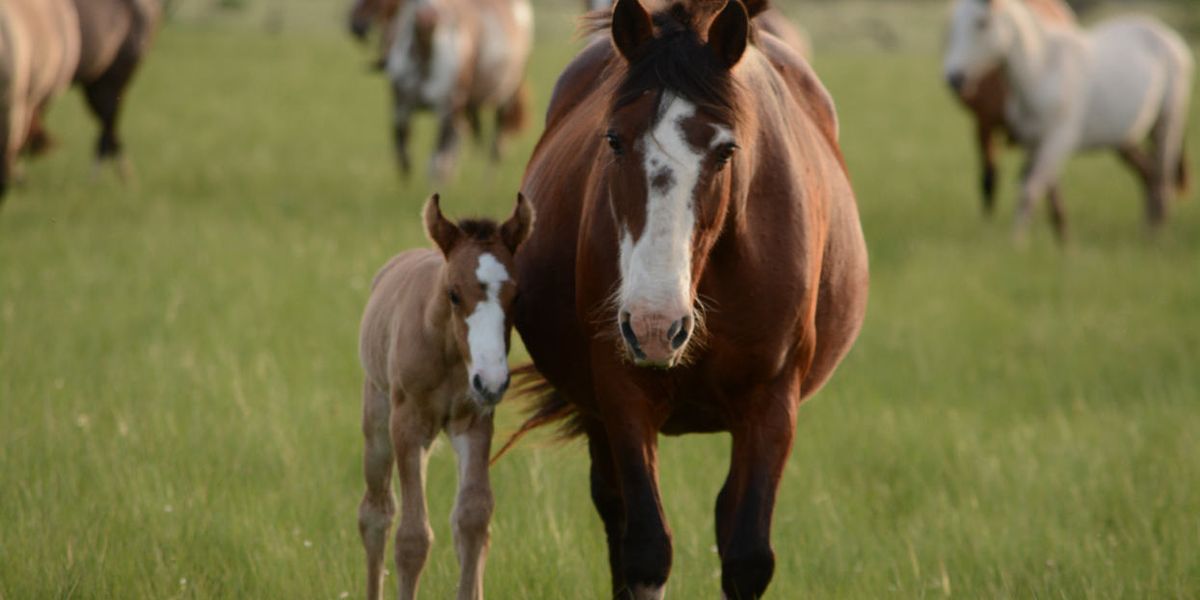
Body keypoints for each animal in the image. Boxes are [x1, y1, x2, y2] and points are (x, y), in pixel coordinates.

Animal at [355, 193, 535, 600]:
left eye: (517, 295)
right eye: (454, 293)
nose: (492, 381)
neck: (449, 353)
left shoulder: (474, 423)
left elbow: (472, 518)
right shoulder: (407, 426)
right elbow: (411, 537)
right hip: (379, 422)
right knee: (376, 513)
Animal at [508, 1, 873, 595]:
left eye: (726, 150)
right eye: (614, 140)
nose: (655, 325)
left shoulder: (773, 402)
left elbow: (747, 555)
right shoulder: (621, 392)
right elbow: (645, 548)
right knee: (614, 509)